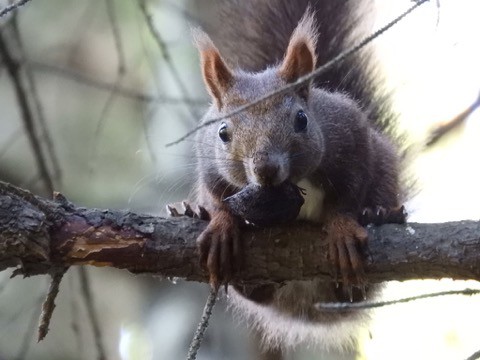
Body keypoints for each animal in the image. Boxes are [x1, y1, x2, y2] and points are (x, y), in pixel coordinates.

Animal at [172, 0, 404, 354]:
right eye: (223, 132)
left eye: (301, 119)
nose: (265, 169)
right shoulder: (207, 159)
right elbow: (216, 193)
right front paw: (221, 225)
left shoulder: (351, 137)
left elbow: (349, 191)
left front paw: (343, 228)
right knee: (255, 293)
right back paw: (195, 212)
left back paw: (379, 214)